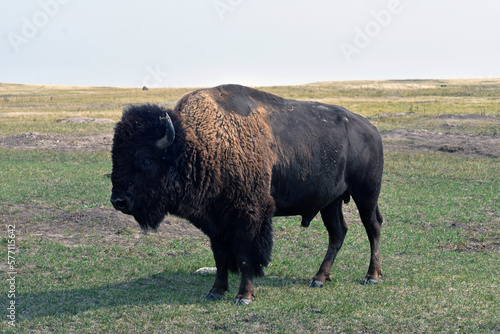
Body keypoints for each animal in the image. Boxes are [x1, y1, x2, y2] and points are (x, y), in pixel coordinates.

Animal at [110, 84, 382, 306]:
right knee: (338, 233)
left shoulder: (249, 215)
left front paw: (244, 296)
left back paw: (371, 276)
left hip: (366, 194)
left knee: (373, 227)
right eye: (115, 156)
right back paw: (319, 278)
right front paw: (215, 292)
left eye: (146, 160)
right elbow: (220, 257)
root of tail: (371, 129)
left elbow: (244, 256)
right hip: (331, 201)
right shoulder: (215, 221)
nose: (118, 201)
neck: (199, 145)